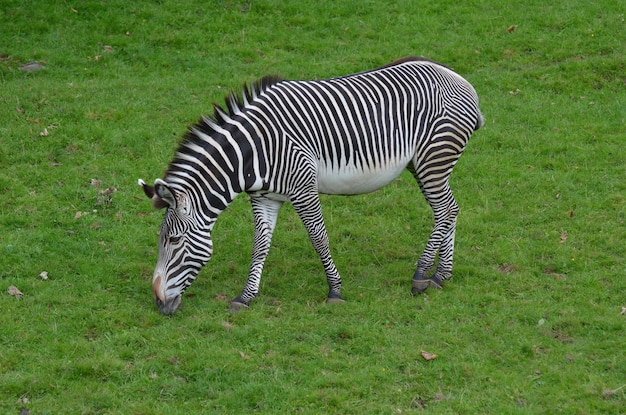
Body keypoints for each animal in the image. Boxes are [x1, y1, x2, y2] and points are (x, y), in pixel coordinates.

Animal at [140, 56, 482, 316]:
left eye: (173, 241)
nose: (158, 302)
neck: (252, 152)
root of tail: (458, 78)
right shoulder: (264, 197)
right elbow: (260, 244)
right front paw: (245, 296)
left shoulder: (303, 189)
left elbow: (319, 237)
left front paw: (335, 290)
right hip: (424, 163)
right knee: (449, 210)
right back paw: (441, 275)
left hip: (433, 158)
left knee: (445, 209)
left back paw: (422, 274)